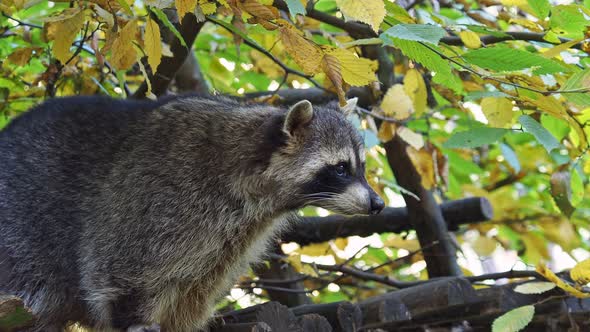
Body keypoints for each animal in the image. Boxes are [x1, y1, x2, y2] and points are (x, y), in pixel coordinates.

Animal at [0, 94, 384, 330]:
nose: (378, 204)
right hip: (20, 237)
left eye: (361, 167)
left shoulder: (231, 239)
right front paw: (134, 318)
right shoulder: (158, 199)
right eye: (341, 169)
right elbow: (120, 270)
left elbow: (193, 292)